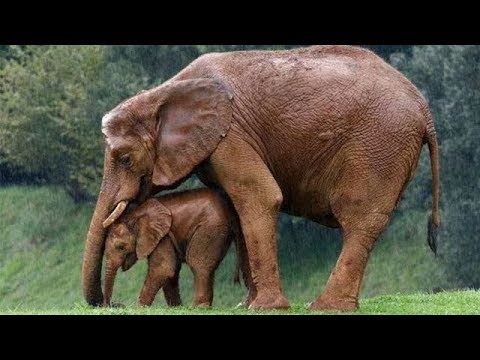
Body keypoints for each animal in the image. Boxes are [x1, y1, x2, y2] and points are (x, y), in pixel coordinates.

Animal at [103, 187, 249, 308]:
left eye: (121, 247)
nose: (115, 304)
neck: (134, 215)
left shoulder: (163, 236)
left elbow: (163, 269)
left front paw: (139, 308)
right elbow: (171, 272)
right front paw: (176, 307)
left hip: (211, 228)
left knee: (199, 265)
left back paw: (199, 308)